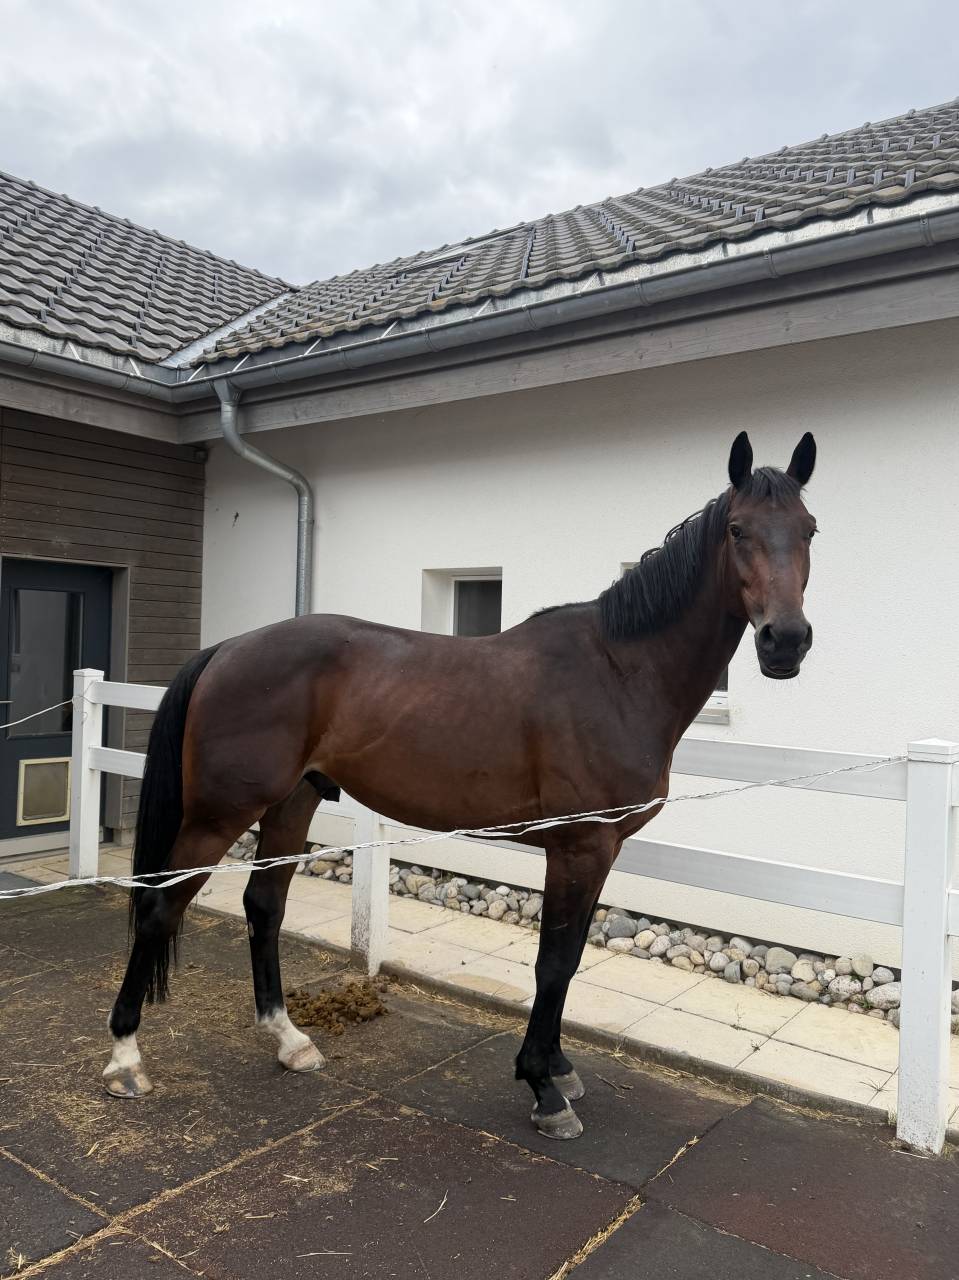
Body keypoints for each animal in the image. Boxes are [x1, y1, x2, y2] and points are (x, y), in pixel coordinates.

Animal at [104, 429, 817, 1140]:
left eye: (810, 529)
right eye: (737, 529)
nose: (786, 641)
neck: (619, 671)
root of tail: (226, 649)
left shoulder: (602, 848)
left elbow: (571, 957)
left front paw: (558, 1068)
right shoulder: (578, 846)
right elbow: (553, 961)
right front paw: (542, 1086)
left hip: (289, 803)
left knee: (264, 906)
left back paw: (289, 1040)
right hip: (218, 815)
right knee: (160, 908)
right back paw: (125, 1060)